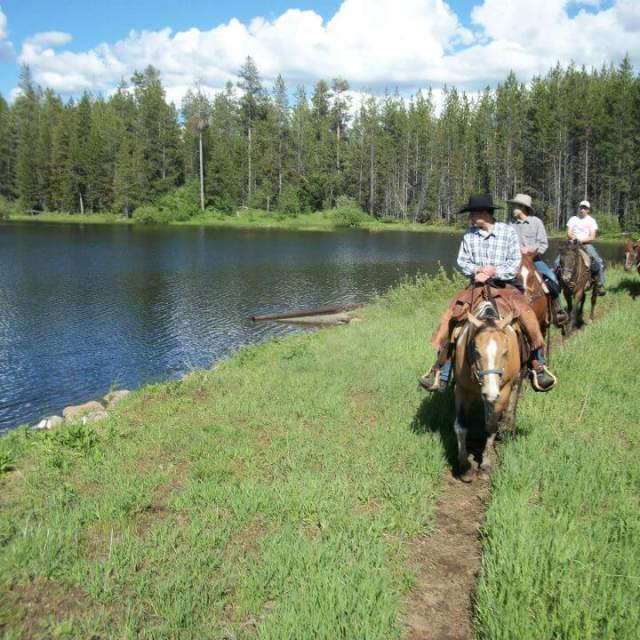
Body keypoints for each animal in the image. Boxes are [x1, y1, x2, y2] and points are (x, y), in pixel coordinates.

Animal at [453, 297, 525, 482]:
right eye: (476, 351)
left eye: (505, 352)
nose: (490, 392)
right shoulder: (461, 389)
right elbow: (461, 426)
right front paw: (465, 467)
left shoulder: (502, 391)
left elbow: (491, 425)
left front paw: (485, 464)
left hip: (514, 382)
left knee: (511, 404)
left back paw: (507, 427)